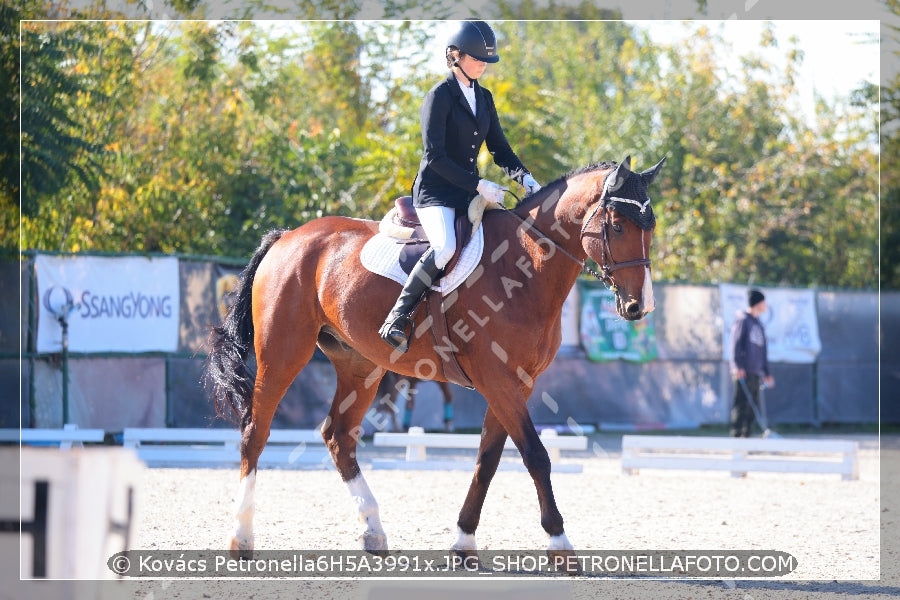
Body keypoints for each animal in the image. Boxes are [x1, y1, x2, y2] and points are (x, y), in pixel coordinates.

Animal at [206, 154, 668, 564]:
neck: (525, 264)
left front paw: (464, 541)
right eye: (617, 225)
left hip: (360, 366)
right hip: (283, 352)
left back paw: (373, 532)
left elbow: (488, 460)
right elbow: (535, 455)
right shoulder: (496, 378)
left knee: (338, 436)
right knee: (255, 432)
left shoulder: (517, 382)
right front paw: (560, 544)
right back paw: (241, 538)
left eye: (651, 227)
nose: (639, 307)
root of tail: (286, 237)